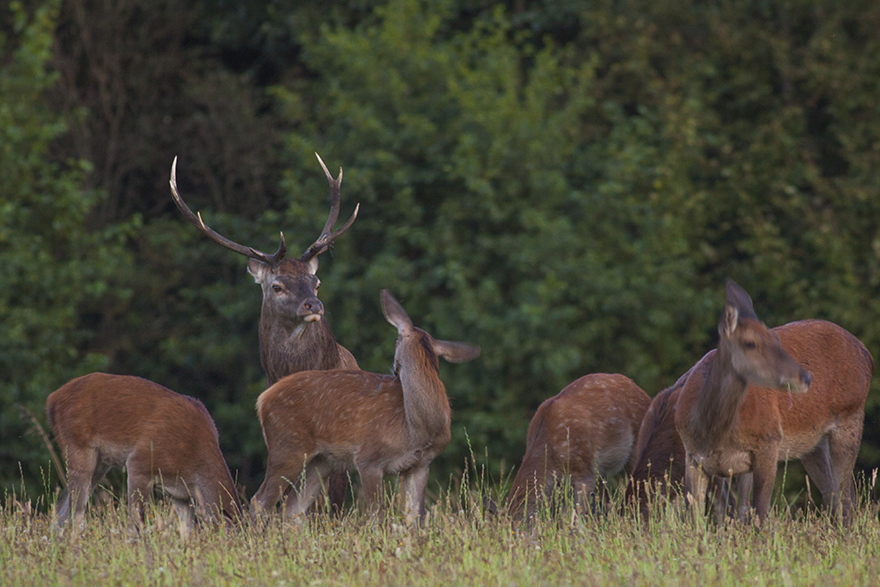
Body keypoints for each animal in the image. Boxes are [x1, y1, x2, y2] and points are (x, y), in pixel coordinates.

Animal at [46, 374, 242, 540]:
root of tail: (51, 400)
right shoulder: (139, 463)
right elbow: (137, 521)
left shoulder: (181, 495)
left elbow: (187, 531)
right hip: (78, 448)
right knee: (74, 512)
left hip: (99, 463)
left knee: (61, 511)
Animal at [248, 290, 482, 524]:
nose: (395, 371)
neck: (415, 428)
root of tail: (263, 398)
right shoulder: (369, 457)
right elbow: (377, 515)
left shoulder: (420, 464)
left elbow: (415, 517)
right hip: (287, 446)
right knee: (260, 501)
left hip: (323, 459)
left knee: (292, 507)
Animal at [676, 280, 868, 524]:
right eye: (749, 343)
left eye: (776, 340)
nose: (805, 377)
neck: (714, 434)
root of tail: (868, 355)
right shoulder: (692, 455)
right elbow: (695, 516)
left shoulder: (768, 441)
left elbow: (760, 511)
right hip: (814, 443)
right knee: (834, 494)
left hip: (851, 415)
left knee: (845, 498)